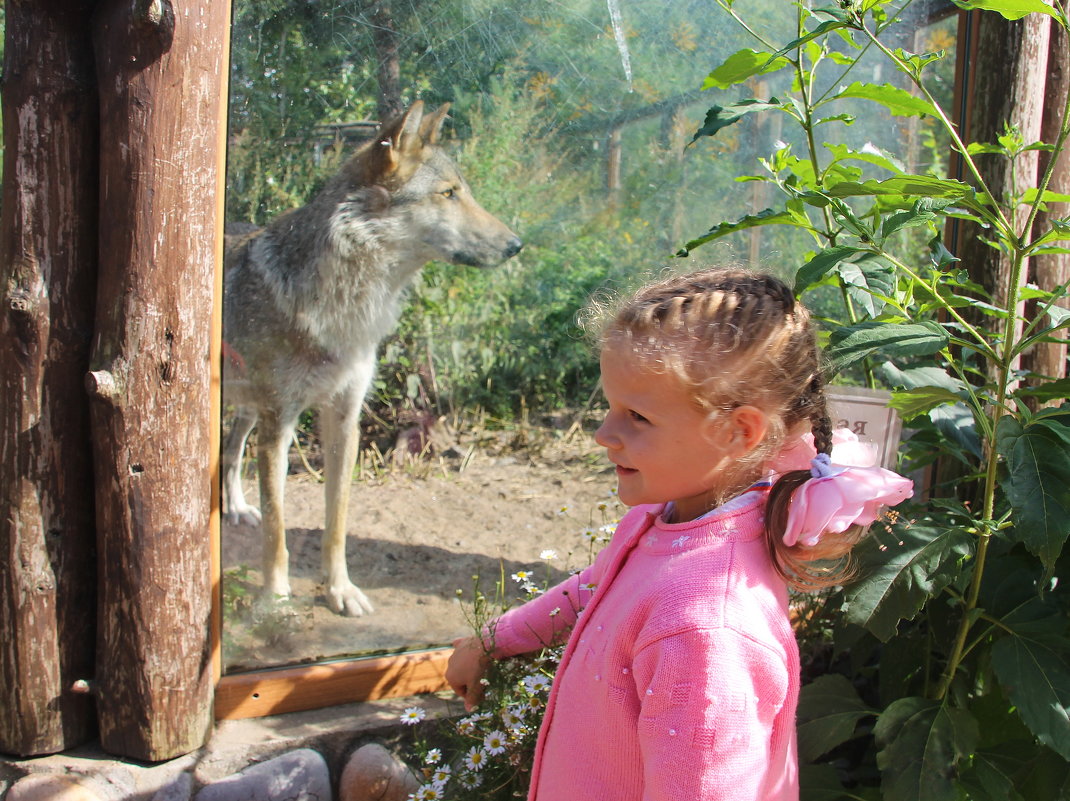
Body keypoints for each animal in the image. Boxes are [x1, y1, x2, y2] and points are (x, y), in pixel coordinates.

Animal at [222, 99, 522, 611]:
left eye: (463, 192)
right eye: (448, 193)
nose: (516, 245)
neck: (347, 305)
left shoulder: (345, 419)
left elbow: (336, 522)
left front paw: (340, 591)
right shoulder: (279, 424)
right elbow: (279, 527)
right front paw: (276, 597)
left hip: (248, 408)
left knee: (229, 449)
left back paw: (236, 508)